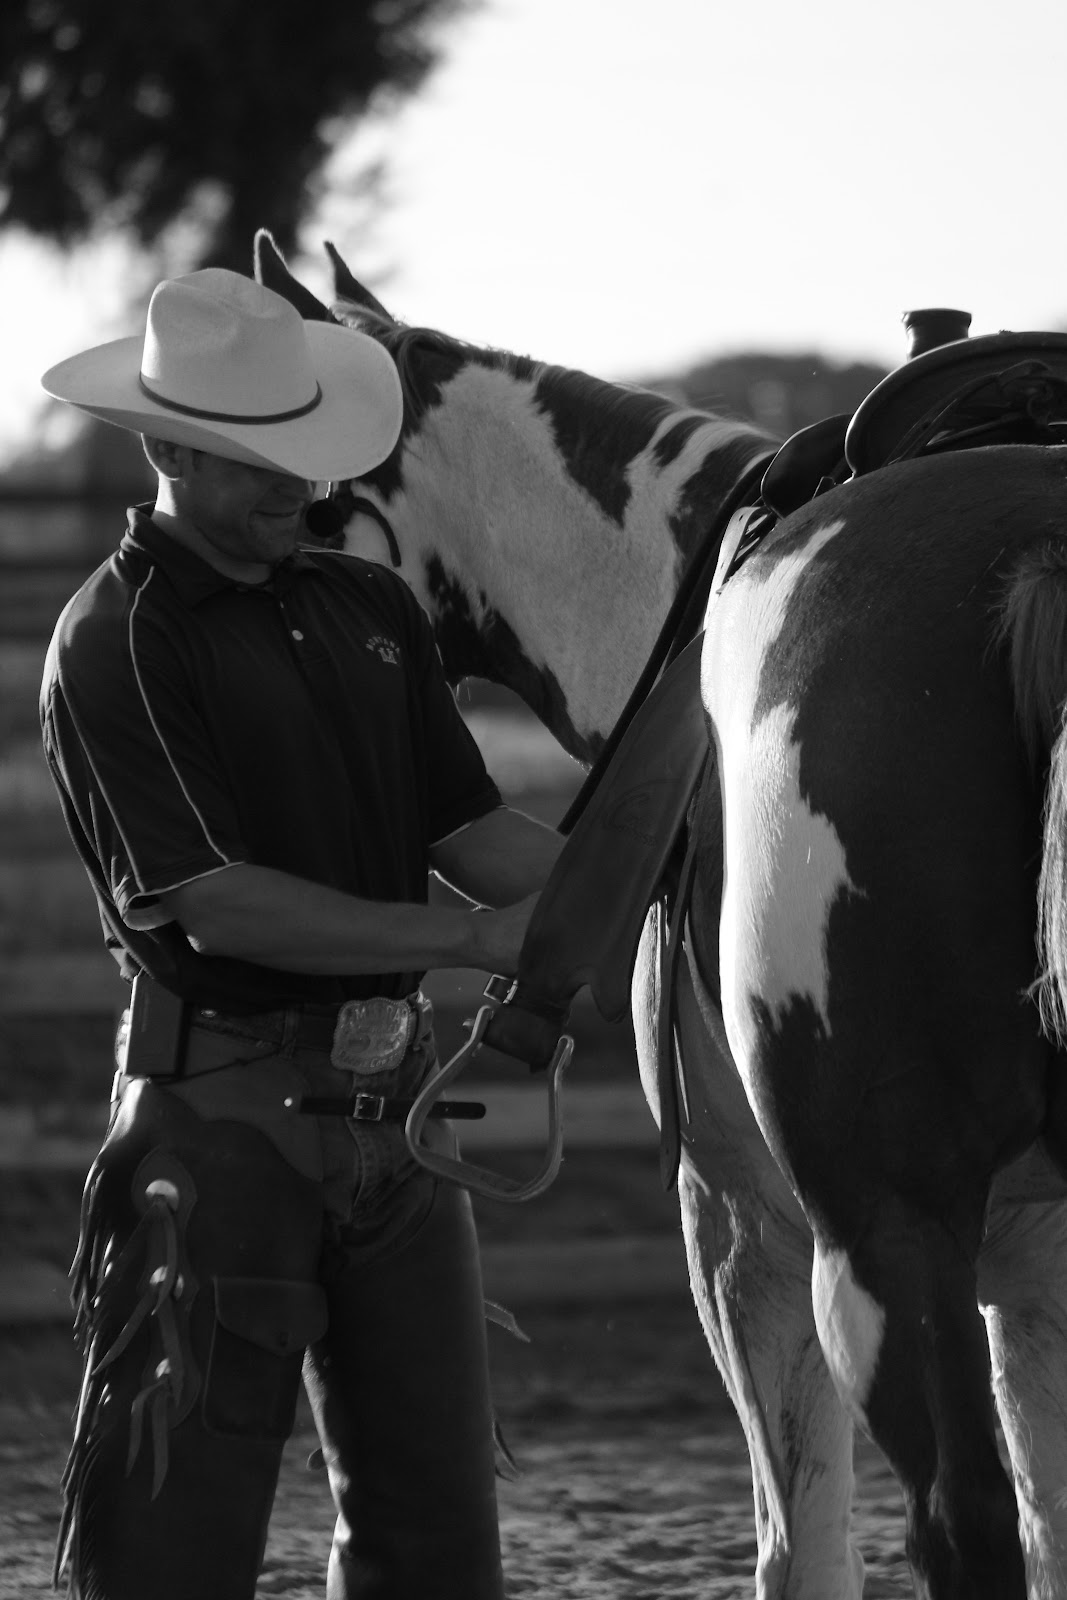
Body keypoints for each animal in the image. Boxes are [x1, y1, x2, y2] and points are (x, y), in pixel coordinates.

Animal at [256, 231, 1067, 1600]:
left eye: (315, 508)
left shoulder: (740, 1231)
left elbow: (804, 1550)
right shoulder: (1036, 1277)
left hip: (878, 1246)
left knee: (957, 1522)